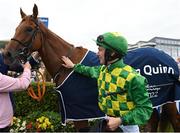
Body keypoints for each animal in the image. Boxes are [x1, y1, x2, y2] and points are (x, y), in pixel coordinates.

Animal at [2, 3, 180, 131]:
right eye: (16, 28)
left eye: (29, 29)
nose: (7, 54)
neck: (67, 67)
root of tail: (168, 58)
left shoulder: (79, 114)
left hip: (169, 100)